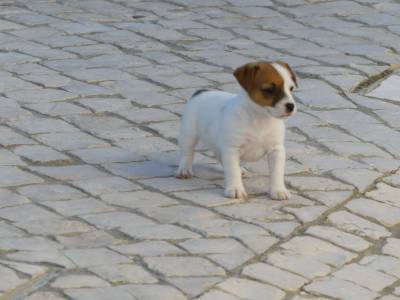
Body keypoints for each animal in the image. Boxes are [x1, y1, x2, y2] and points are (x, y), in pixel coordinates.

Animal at [175, 61, 296, 200]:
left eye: (291, 89)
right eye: (269, 89)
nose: (291, 106)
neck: (259, 118)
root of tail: (202, 91)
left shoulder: (276, 150)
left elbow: (277, 172)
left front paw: (278, 190)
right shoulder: (232, 149)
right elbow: (232, 171)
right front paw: (236, 188)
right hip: (188, 133)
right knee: (187, 153)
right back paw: (184, 170)